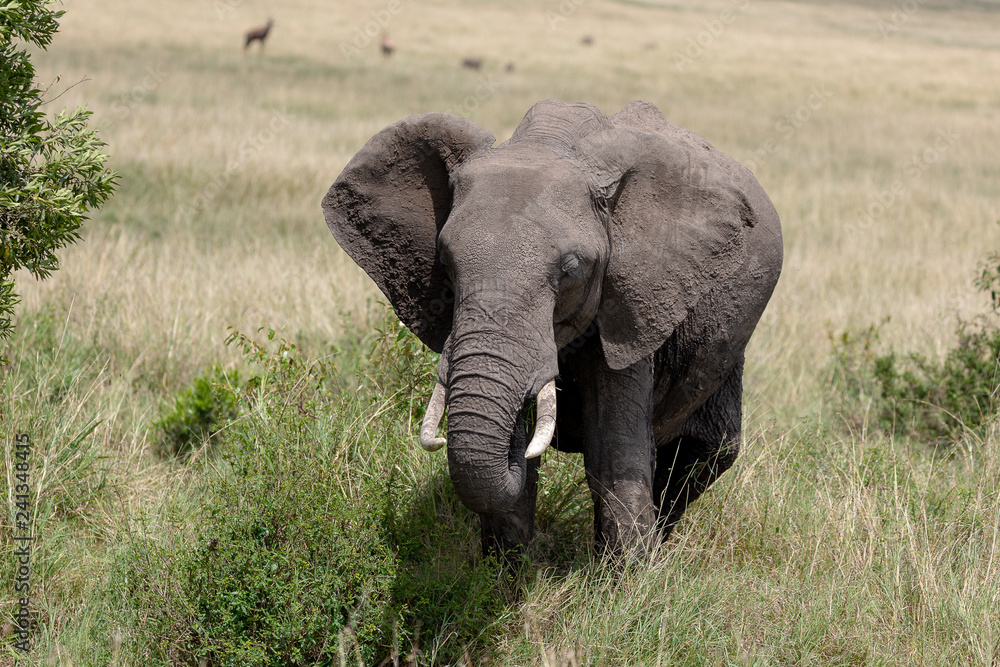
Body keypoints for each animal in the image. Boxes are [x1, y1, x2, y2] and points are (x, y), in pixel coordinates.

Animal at [324, 99, 784, 556]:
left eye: (570, 271)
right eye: (446, 263)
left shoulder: (634, 298)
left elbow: (613, 449)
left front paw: (628, 576)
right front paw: (501, 570)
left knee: (706, 454)